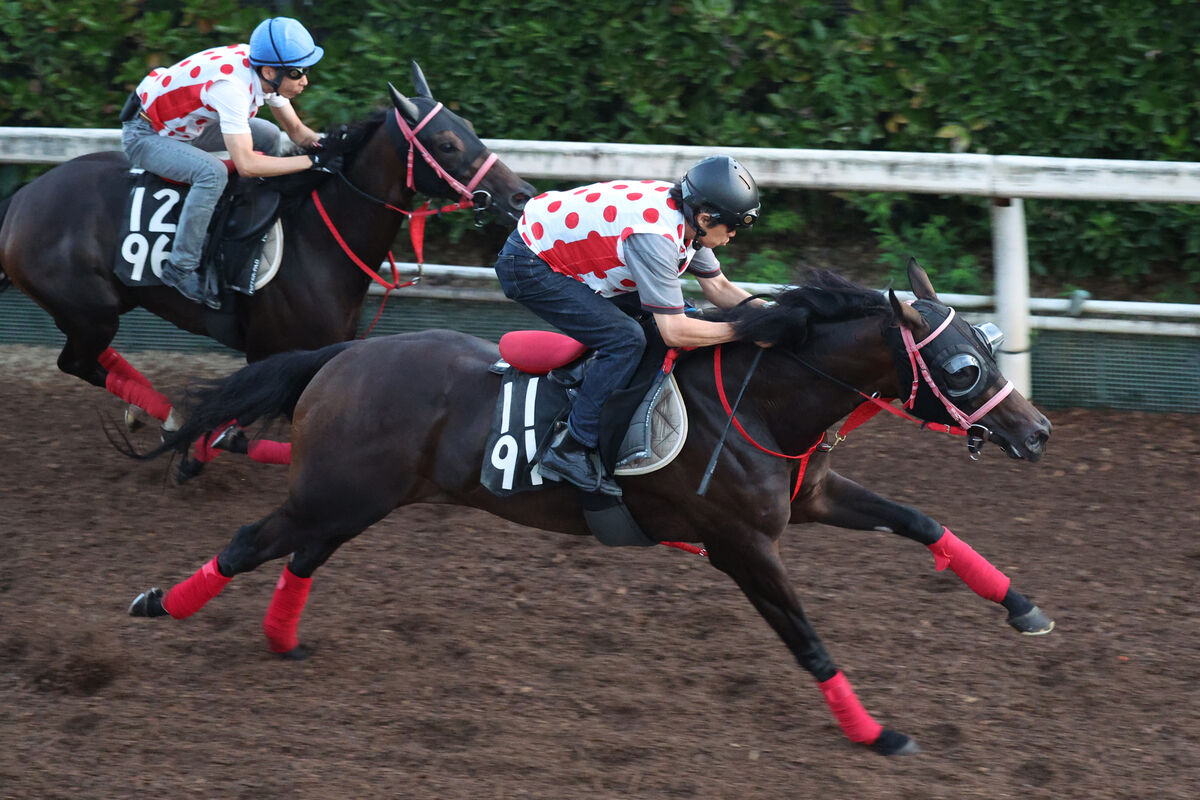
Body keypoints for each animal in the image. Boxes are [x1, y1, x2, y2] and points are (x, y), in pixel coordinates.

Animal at [0, 61, 535, 448]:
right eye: (446, 143)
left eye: (469, 126)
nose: (521, 195)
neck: (317, 238)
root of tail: (22, 200)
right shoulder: (270, 351)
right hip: (89, 309)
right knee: (78, 362)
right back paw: (168, 414)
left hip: (106, 305)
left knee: (94, 358)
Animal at [129, 262, 1051, 758]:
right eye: (963, 368)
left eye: (986, 347)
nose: (1037, 431)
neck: (760, 403)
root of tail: (338, 355)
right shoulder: (741, 545)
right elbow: (808, 640)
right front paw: (876, 734)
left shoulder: (811, 498)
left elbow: (923, 522)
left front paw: (1022, 607)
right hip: (336, 492)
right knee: (250, 542)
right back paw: (157, 604)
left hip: (356, 500)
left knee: (299, 555)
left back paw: (280, 639)